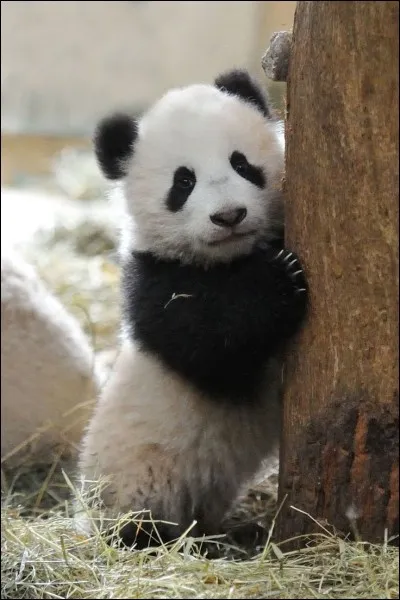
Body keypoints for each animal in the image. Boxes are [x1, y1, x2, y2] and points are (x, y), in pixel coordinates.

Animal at [77, 69, 310, 548]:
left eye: (242, 164)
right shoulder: (154, 283)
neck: (227, 259)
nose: (229, 215)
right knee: (139, 518)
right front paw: (279, 280)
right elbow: (210, 343)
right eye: (183, 182)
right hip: (139, 476)